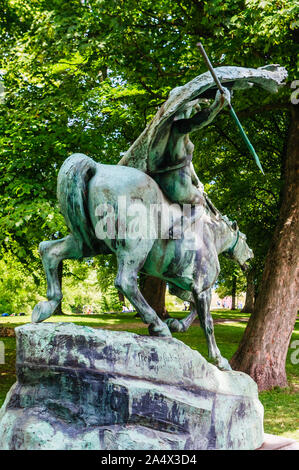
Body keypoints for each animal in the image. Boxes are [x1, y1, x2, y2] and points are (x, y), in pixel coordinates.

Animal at [32, 154, 253, 370]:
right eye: (244, 239)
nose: (251, 257)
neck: (210, 234)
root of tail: (97, 166)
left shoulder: (181, 285)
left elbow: (192, 306)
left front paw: (178, 324)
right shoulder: (203, 288)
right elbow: (207, 322)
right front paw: (219, 360)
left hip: (88, 242)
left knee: (48, 250)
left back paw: (46, 307)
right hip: (135, 245)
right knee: (125, 281)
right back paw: (158, 326)